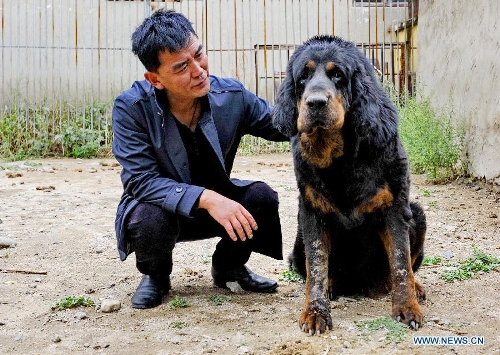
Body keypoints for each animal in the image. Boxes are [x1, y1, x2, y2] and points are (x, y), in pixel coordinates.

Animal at [272, 36, 428, 336]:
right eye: (303, 76)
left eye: (337, 75)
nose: (315, 102)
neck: (341, 159)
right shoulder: (312, 213)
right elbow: (317, 266)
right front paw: (316, 312)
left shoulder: (395, 208)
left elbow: (401, 262)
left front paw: (407, 306)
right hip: (297, 241)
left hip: (417, 213)